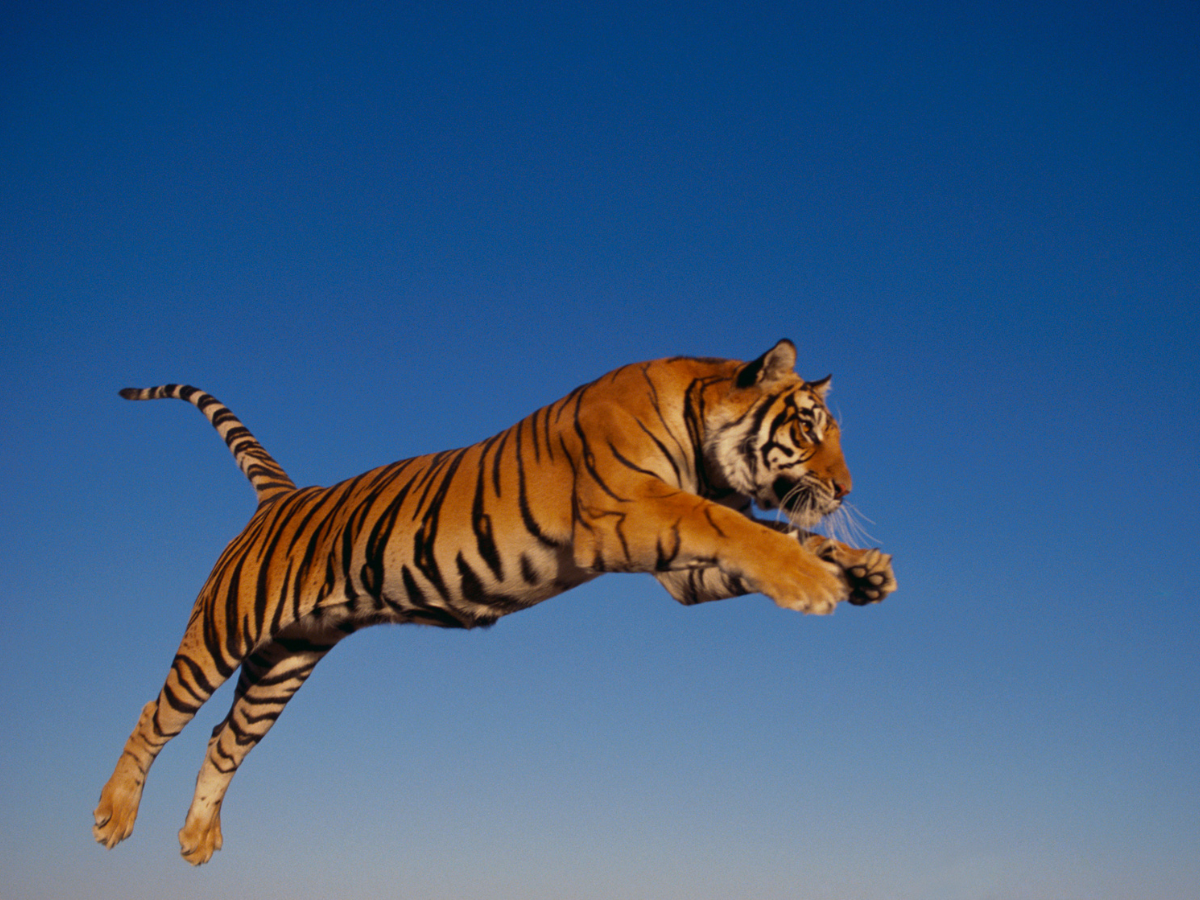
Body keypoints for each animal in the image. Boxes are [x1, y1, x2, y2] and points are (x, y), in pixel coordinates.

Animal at [92, 338, 896, 865]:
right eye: (807, 429)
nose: (847, 489)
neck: (702, 441)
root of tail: (282, 495)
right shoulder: (634, 512)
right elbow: (743, 528)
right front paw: (814, 583)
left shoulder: (679, 573)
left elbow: (775, 534)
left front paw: (863, 570)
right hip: (222, 631)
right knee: (157, 714)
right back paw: (112, 815)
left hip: (285, 661)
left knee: (224, 738)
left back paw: (197, 840)